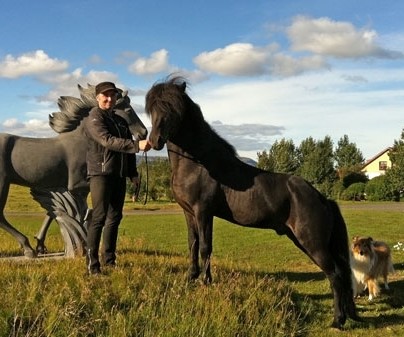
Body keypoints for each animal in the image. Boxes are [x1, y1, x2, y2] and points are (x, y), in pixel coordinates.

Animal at [0, 84, 148, 258]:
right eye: (129, 109)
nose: (144, 133)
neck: (82, 141)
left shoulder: (61, 187)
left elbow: (53, 212)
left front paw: (41, 244)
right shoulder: (77, 184)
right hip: (3, 183)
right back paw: (28, 249)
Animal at [144, 76, 356, 328]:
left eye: (174, 109)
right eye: (152, 109)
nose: (155, 141)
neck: (199, 163)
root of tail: (322, 198)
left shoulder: (203, 211)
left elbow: (206, 247)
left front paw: (206, 282)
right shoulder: (189, 213)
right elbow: (193, 244)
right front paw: (190, 278)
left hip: (313, 243)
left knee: (335, 275)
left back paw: (338, 321)